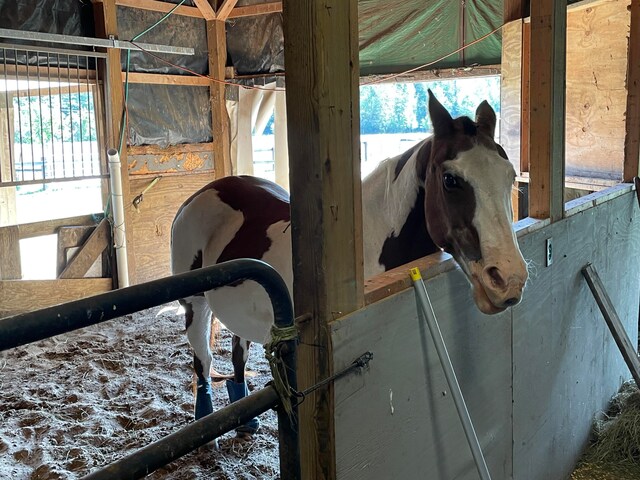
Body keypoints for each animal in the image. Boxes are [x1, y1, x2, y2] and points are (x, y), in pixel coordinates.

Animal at [169, 91, 524, 436]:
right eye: (451, 180)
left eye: (510, 176)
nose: (509, 279)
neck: (374, 238)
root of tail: (202, 193)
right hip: (195, 305)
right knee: (202, 358)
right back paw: (205, 420)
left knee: (237, 351)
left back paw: (247, 422)